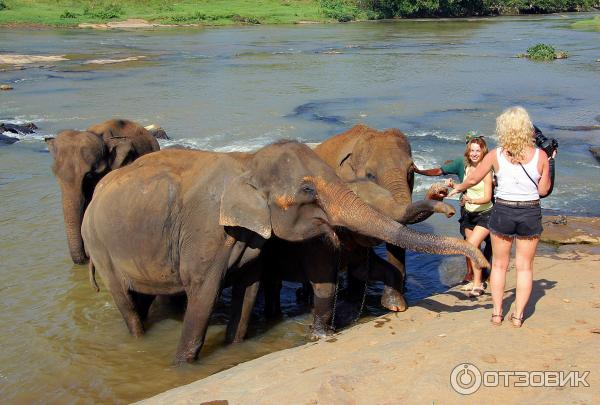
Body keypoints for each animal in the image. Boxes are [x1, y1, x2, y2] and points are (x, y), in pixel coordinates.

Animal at [82, 142, 490, 362]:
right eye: (308, 191)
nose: (447, 202)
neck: (247, 166)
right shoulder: (207, 234)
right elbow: (204, 293)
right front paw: (182, 365)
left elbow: (248, 289)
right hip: (100, 247)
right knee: (127, 301)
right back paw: (139, 340)